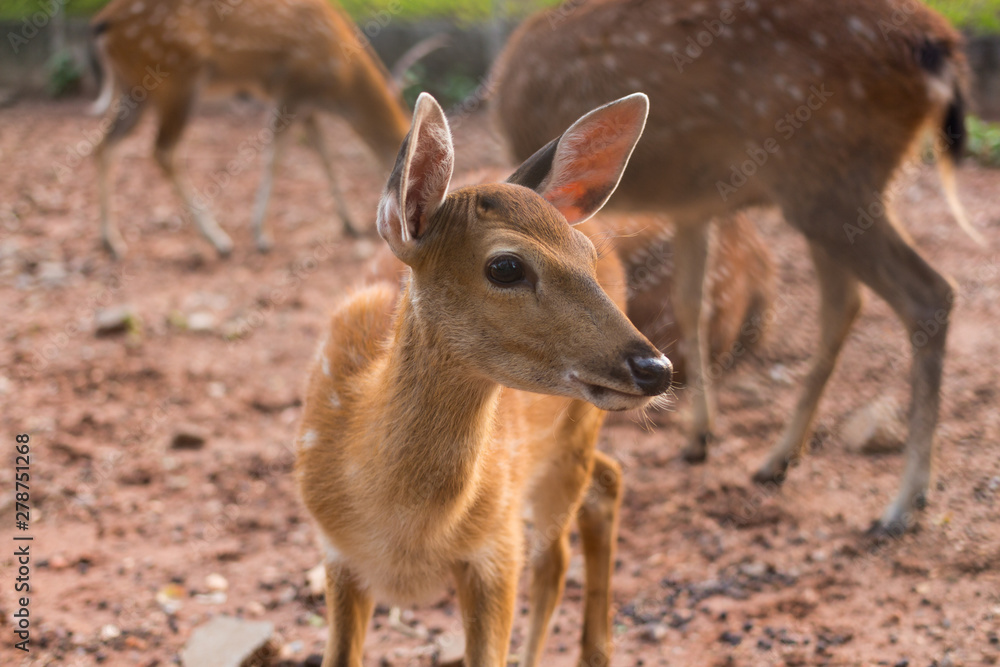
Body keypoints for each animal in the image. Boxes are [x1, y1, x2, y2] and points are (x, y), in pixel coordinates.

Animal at [89, 0, 410, 258]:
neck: (342, 82)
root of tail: (103, 23)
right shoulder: (292, 89)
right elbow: (275, 158)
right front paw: (262, 235)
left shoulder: (308, 105)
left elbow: (325, 156)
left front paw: (350, 223)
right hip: (177, 77)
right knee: (163, 150)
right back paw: (219, 241)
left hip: (135, 89)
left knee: (104, 145)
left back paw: (112, 242)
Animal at [294, 92, 672, 667]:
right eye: (506, 267)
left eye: (585, 257)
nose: (655, 368)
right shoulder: (336, 553)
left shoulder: (496, 544)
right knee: (603, 486)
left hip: (569, 443)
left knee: (560, 550)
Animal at [492, 0, 984, 532]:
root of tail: (939, 48)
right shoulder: (692, 205)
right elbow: (691, 302)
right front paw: (698, 437)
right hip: (831, 190)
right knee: (845, 301)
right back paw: (778, 460)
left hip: (833, 177)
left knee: (927, 293)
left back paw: (903, 502)